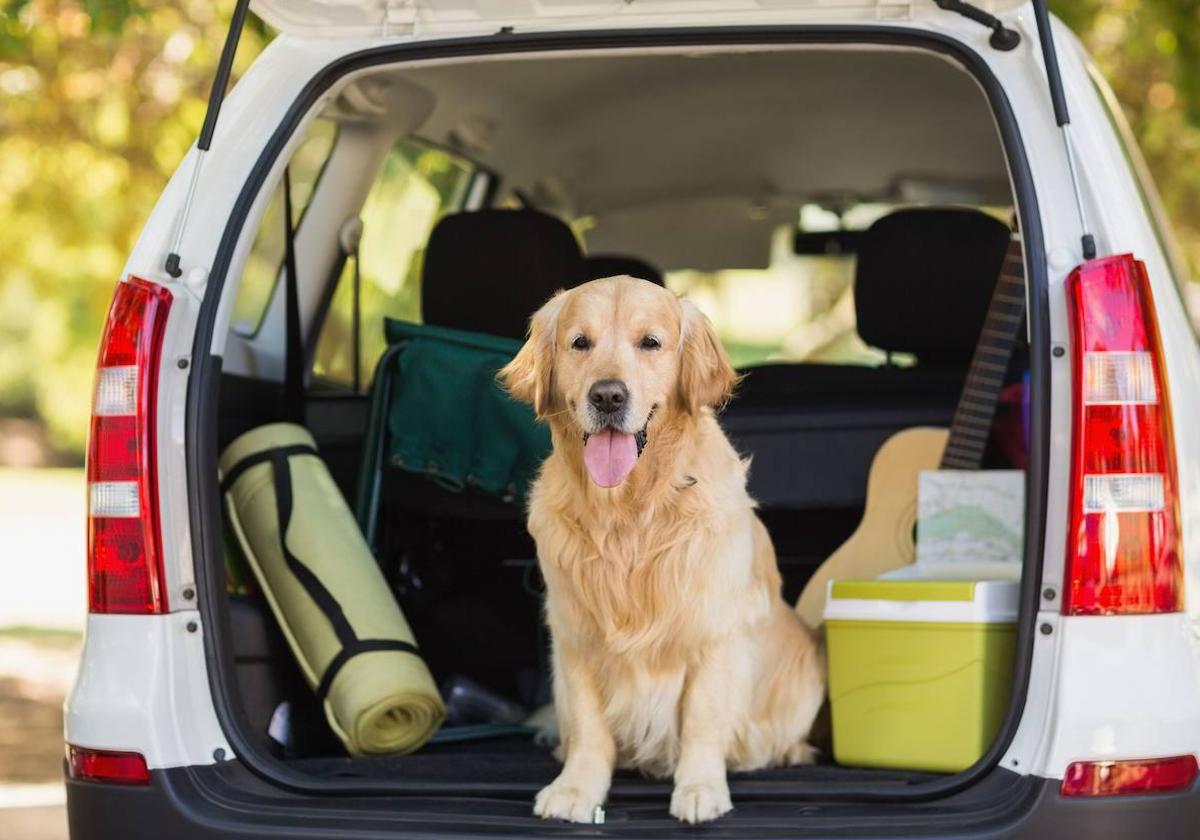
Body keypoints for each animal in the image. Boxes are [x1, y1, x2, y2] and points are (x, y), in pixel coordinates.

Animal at [496, 277, 825, 825]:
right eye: (579, 342)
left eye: (650, 342)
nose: (608, 395)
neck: (629, 513)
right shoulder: (574, 634)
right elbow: (588, 725)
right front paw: (576, 789)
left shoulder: (715, 634)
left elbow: (703, 720)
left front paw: (699, 789)